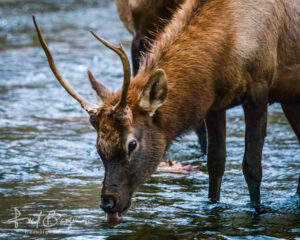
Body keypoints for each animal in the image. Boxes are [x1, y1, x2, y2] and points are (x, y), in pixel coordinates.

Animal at [31, 0, 298, 220]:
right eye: (98, 147)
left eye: (131, 144)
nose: (108, 203)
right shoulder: (215, 104)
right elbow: (215, 163)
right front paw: (212, 206)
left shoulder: (258, 89)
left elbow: (251, 166)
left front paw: (257, 211)